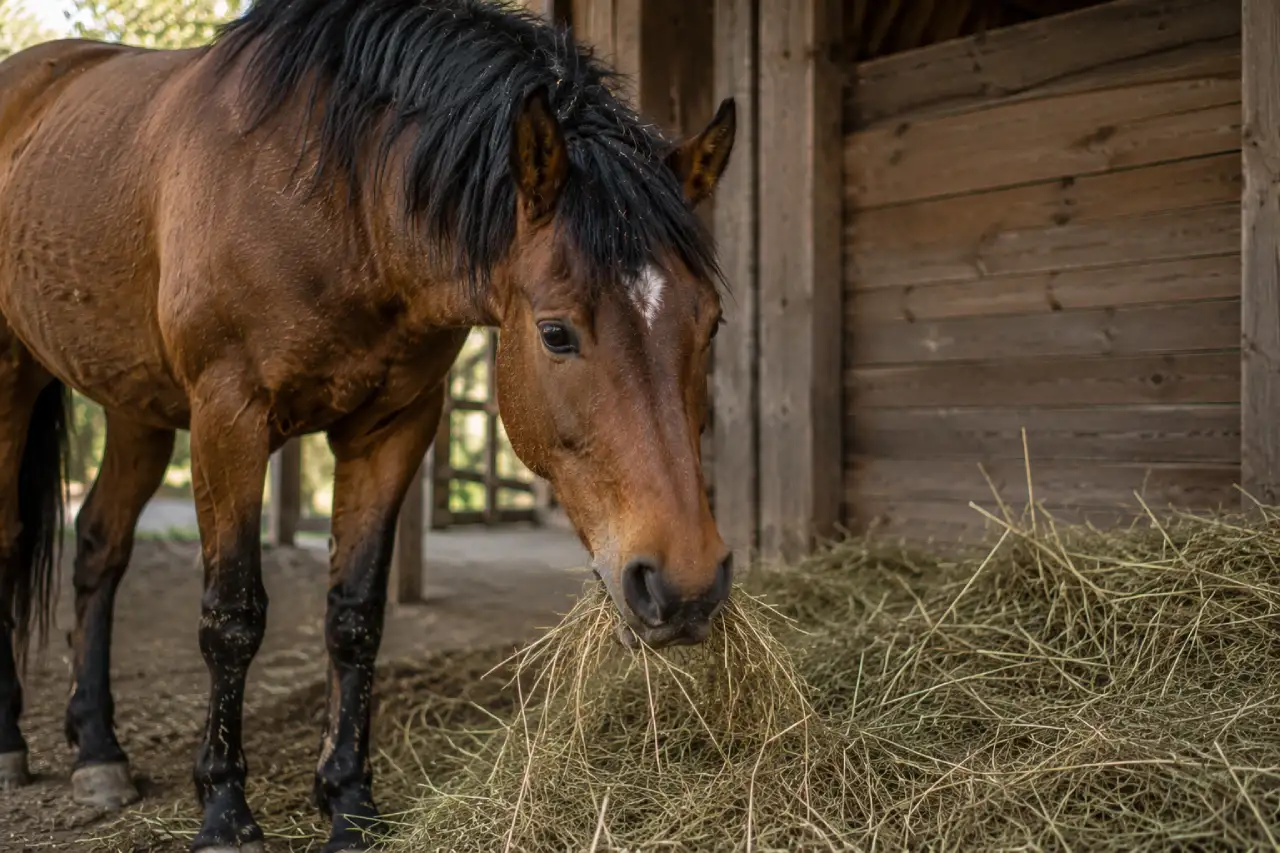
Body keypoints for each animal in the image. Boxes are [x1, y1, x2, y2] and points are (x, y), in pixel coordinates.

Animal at [0, 0, 736, 849]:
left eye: (711, 324)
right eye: (556, 333)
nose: (686, 583)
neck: (334, 200)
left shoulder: (393, 427)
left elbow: (354, 615)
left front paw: (349, 800)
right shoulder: (229, 419)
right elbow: (233, 614)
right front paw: (225, 809)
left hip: (134, 405)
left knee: (98, 545)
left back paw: (98, 750)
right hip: (14, 379)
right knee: (10, 540)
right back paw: (11, 742)